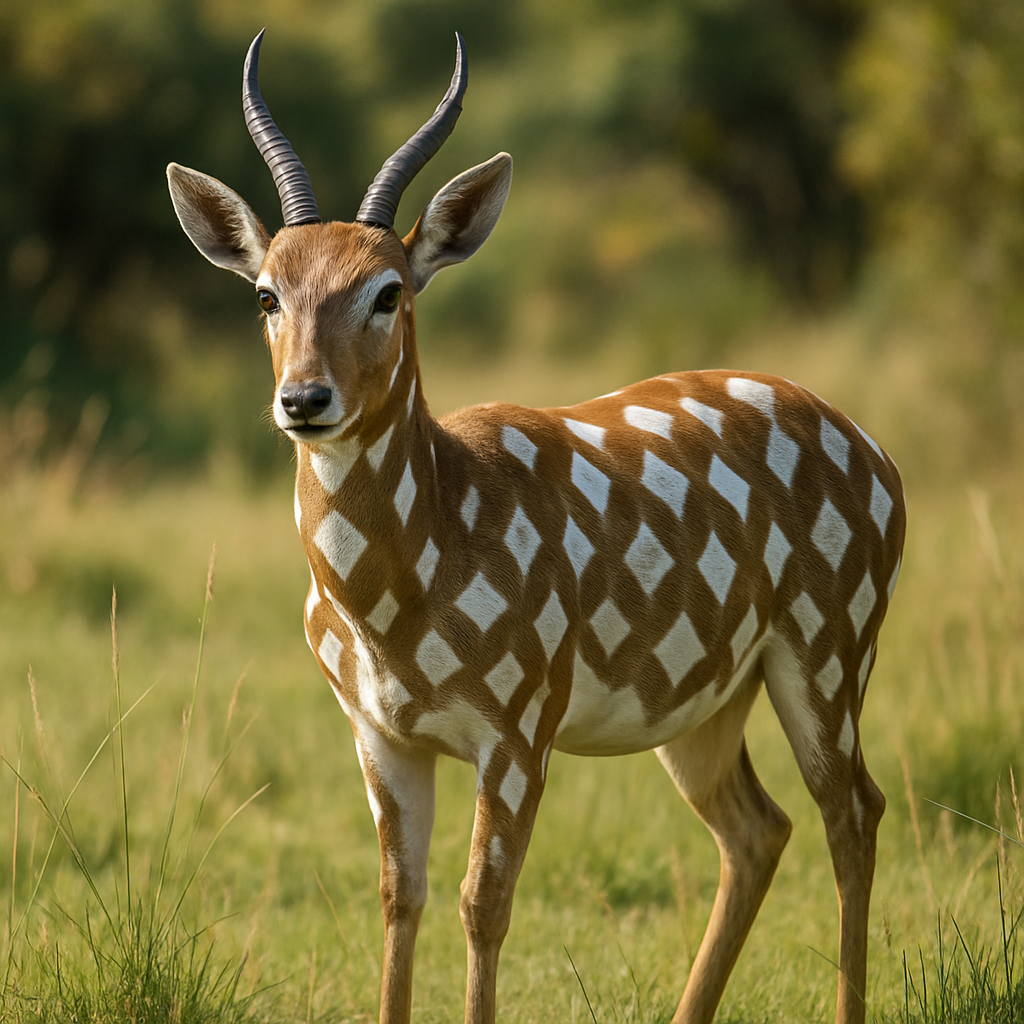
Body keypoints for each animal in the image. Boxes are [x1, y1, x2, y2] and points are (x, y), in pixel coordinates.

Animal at [167, 31, 905, 1024]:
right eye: (266, 294)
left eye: (388, 291)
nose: (305, 399)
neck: (407, 588)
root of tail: (879, 455)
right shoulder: (379, 732)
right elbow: (400, 897)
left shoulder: (518, 724)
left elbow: (485, 903)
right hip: (707, 700)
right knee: (759, 828)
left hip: (830, 649)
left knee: (853, 811)